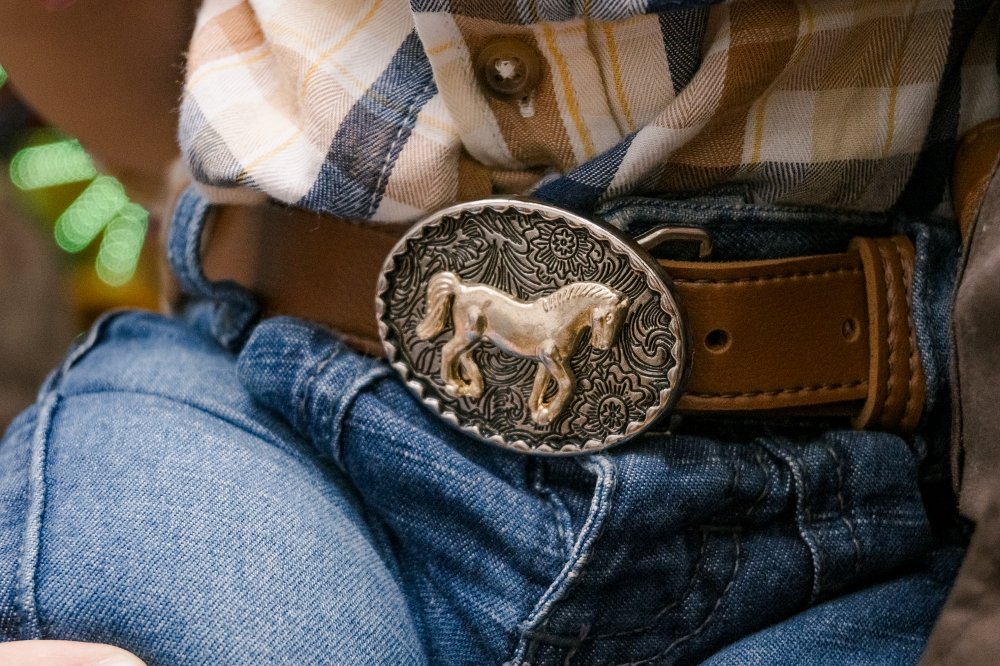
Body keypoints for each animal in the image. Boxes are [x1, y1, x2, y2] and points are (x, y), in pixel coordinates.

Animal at [416, 271, 630, 426]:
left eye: (620, 319)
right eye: (609, 317)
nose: (603, 345)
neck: (559, 319)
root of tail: (460, 289)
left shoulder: (546, 361)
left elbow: (540, 385)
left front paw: (539, 412)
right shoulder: (550, 358)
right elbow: (568, 383)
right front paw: (549, 414)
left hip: (475, 338)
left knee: (464, 355)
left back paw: (473, 389)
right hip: (467, 334)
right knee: (448, 350)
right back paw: (454, 385)